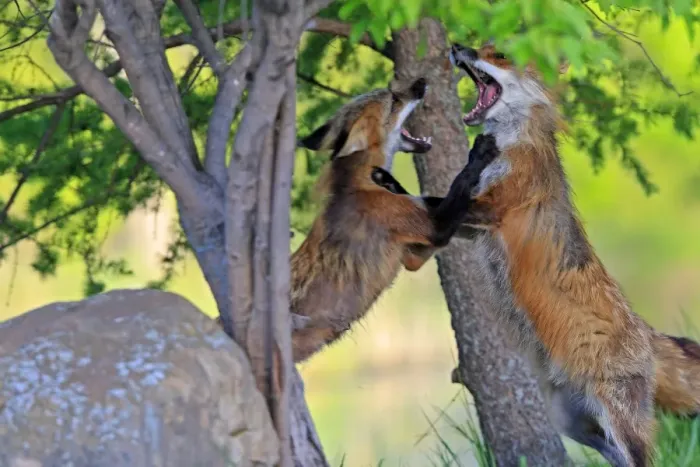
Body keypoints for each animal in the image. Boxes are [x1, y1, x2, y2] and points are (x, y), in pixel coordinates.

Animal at [287, 78, 500, 362]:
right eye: (394, 101)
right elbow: (460, 184)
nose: (422, 81)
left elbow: (431, 199)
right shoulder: (433, 228)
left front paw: (389, 180)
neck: (358, 184)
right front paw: (480, 155)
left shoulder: (412, 255)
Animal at [435, 42, 700, 467]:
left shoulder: (493, 211)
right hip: (575, 423)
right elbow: (434, 202)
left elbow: (442, 197)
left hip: (619, 422)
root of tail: (646, 330)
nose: (457, 47)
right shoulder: (472, 227)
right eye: (480, 46)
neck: (515, 142)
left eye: (500, 55)